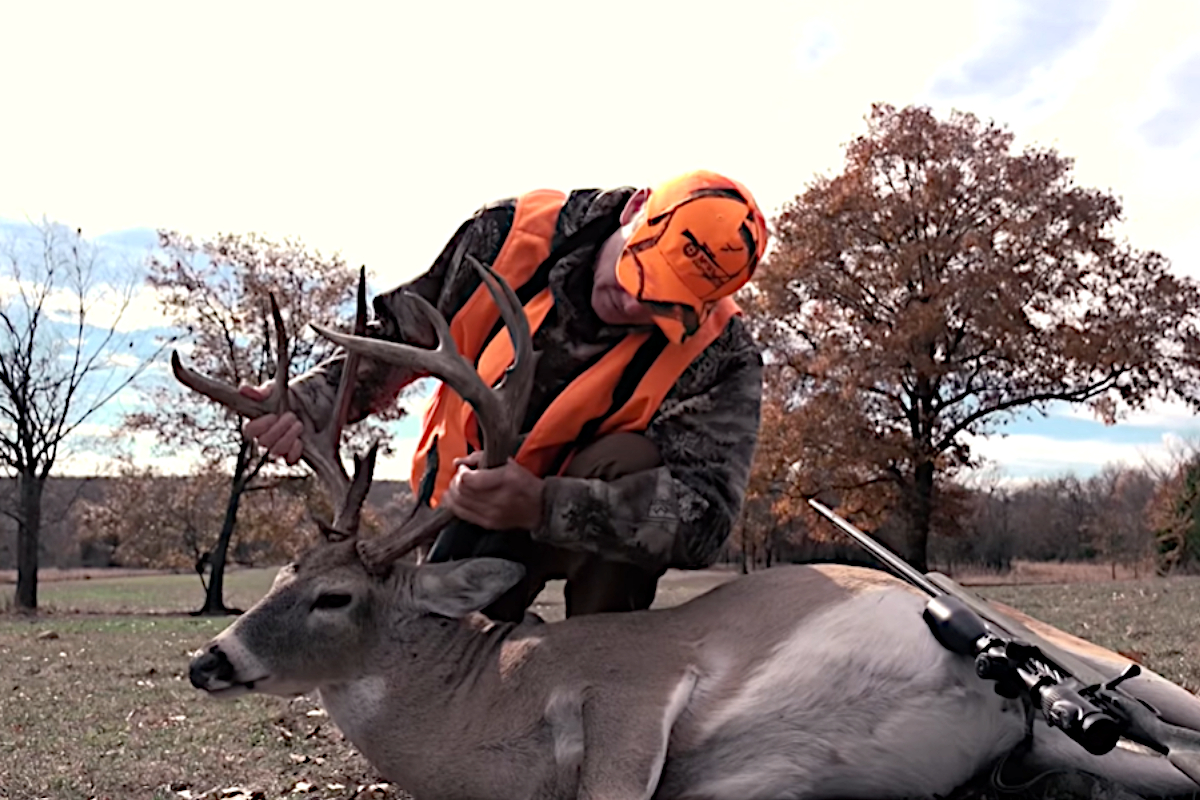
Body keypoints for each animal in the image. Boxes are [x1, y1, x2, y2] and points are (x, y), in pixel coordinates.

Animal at [182, 259, 1200, 800]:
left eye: (335, 596)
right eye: (278, 576)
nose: (209, 660)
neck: (487, 710)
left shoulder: (638, 688)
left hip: (1094, 666)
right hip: (1050, 736)